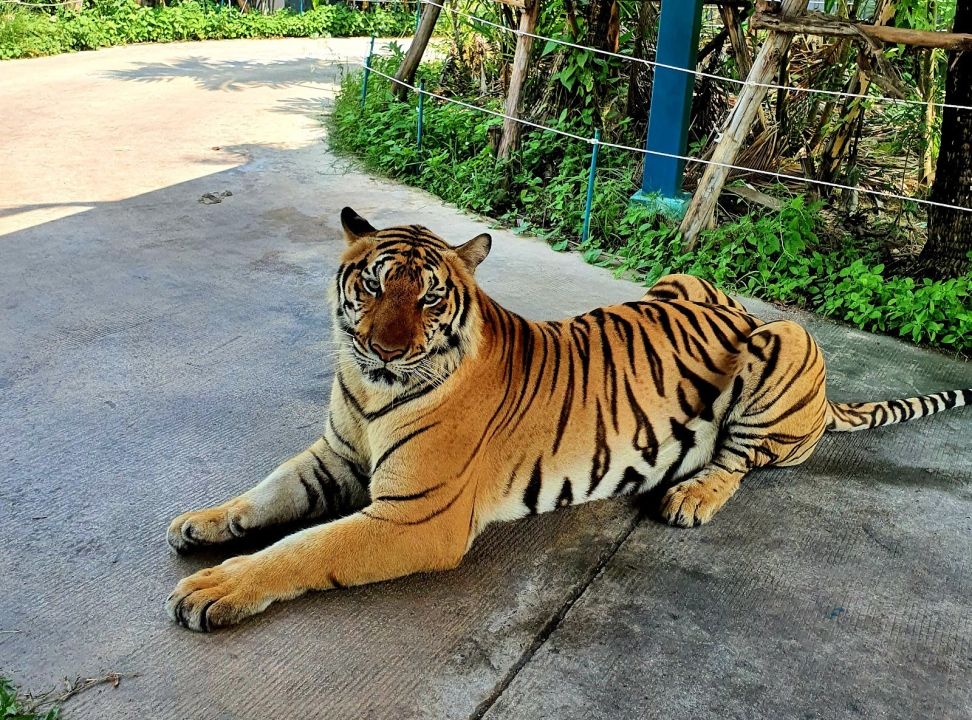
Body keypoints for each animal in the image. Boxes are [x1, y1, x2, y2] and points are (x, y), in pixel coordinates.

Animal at [165, 207, 972, 632]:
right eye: (371, 285)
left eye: (428, 297)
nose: (384, 350)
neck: (369, 390)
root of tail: (741, 310)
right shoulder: (335, 454)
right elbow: (267, 493)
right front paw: (200, 523)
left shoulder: (413, 517)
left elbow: (302, 548)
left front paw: (214, 589)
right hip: (680, 280)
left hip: (785, 338)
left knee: (742, 461)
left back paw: (690, 495)